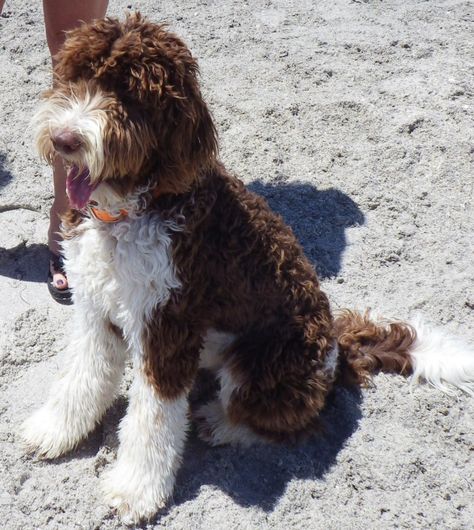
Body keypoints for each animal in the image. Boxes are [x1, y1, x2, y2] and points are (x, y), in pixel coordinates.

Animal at [22, 13, 474, 524]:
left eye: (130, 95)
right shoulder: (96, 310)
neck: (130, 211)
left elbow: (153, 416)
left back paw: (219, 421)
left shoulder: (166, 327)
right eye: (77, 78)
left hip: (262, 364)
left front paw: (134, 489)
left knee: (285, 421)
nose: (65, 140)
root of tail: (338, 350)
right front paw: (54, 429)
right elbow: (80, 375)